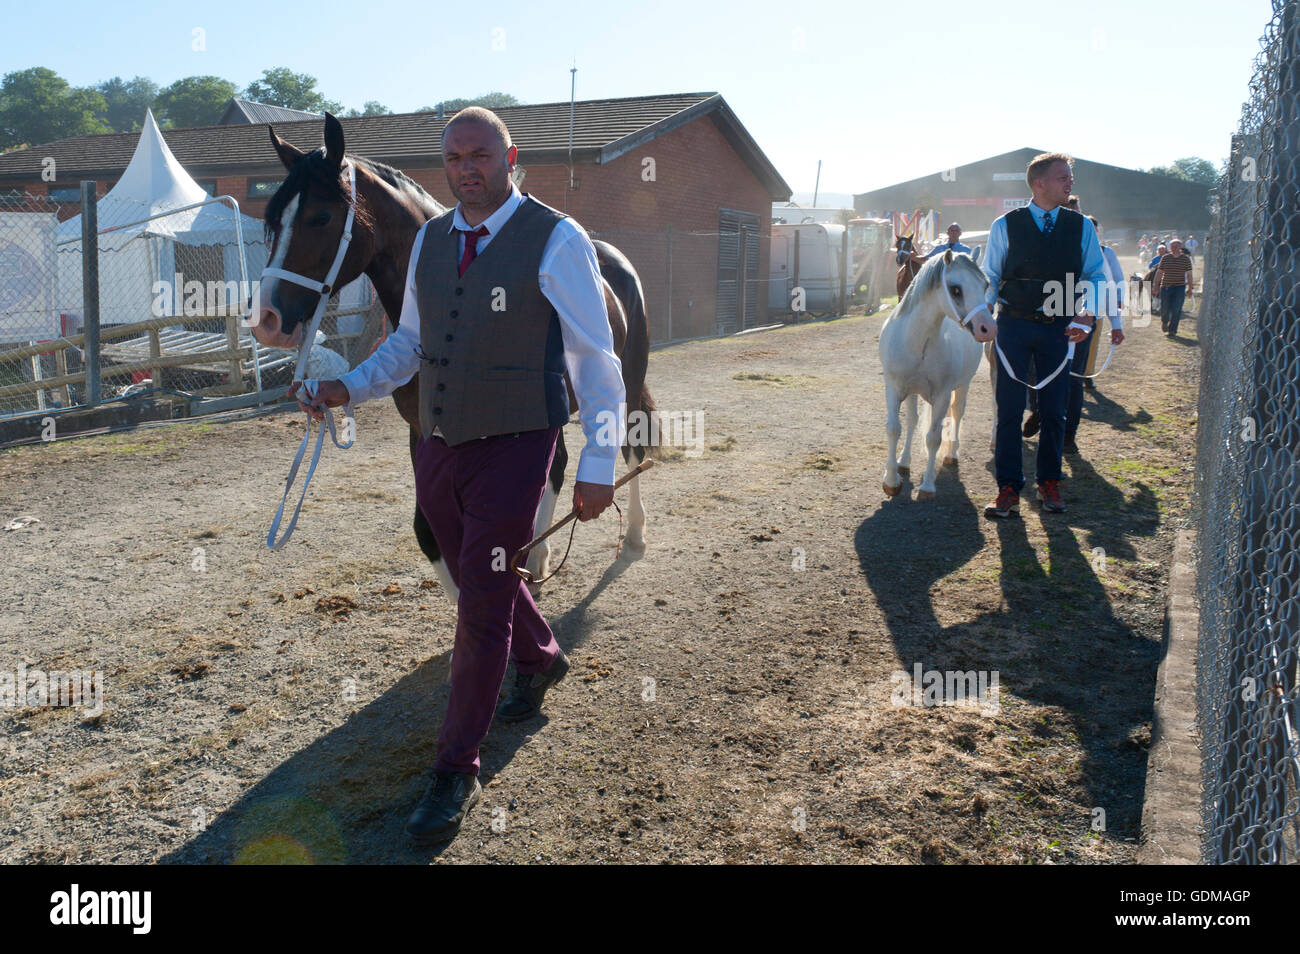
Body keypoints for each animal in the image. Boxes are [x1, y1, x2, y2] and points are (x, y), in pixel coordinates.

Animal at [250, 115, 660, 600]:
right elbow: (429, 530)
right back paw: (538, 558)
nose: (266, 319)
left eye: (321, 216)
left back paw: (632, 536)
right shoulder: (422, 433)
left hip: (625, 383)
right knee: (557, 466)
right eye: (273, 220)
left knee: (631, 447)